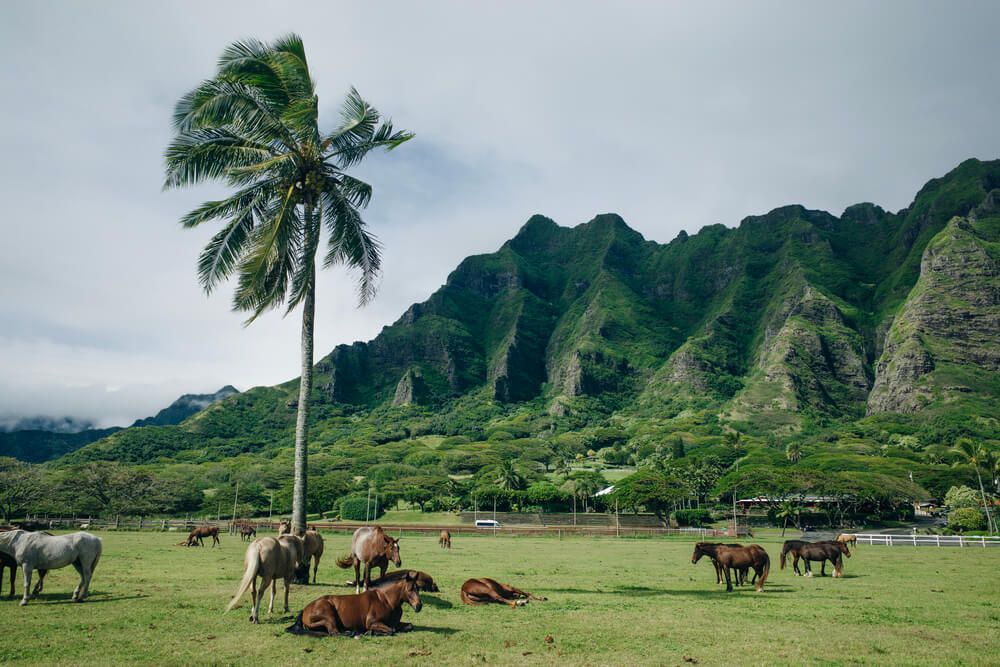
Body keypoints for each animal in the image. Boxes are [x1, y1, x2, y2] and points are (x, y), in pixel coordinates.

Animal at [284, 568, 424, 636]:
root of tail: (305, 609)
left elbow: (407, 626)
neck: (386, 601)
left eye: (418, 588)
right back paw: (351, 632)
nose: (419, 606)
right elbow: (391, 630)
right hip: (328, 615)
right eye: (410, 589)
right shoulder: (372, 622)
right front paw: (370, 632)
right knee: (334, 633)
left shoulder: (395, 622)